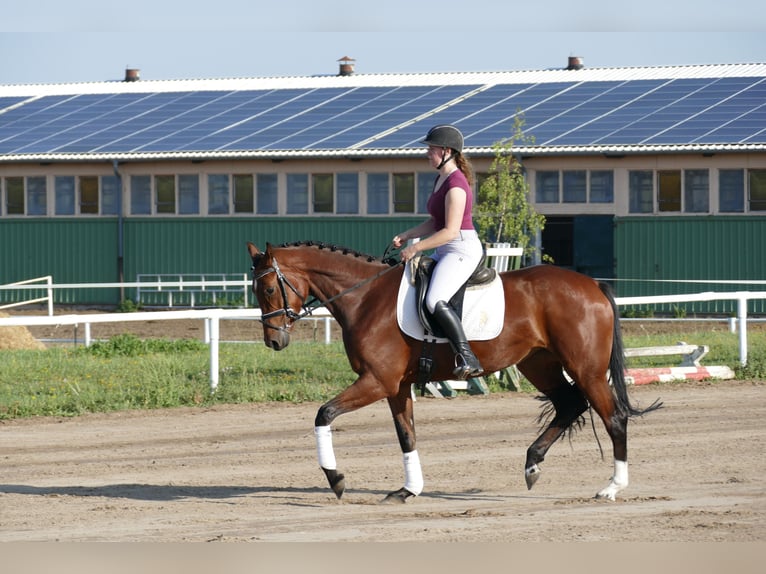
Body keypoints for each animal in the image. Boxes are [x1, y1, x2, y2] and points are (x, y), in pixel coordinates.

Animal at [246, 240, 660, 504]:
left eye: (267, 288)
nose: (274, 341)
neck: (364, 298)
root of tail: (592, 284)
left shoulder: (376, 382)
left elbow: (324, 414)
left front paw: (336, 480)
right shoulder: (396, 386)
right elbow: (407, 436)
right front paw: (408, 490)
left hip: (586, 370)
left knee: (613, 418)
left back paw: (611, 487)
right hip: (538, 363)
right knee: (569, 404)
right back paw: (532, 464)